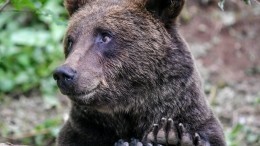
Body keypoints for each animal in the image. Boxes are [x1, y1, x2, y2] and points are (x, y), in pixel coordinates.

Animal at [53, 0, 225, 145]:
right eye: (70, 41)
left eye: (105, 36)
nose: (63, 73)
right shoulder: (84, 128)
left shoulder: (191, 114)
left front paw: (171, 136)